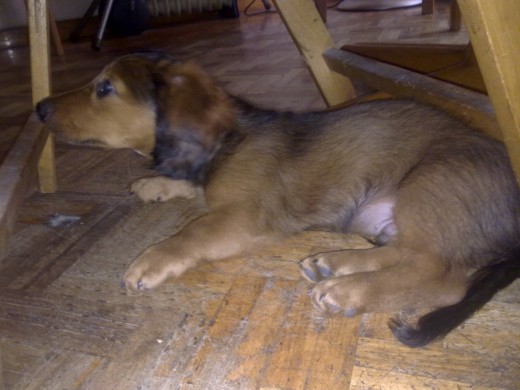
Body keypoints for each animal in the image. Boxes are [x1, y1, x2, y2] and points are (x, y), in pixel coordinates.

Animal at [36, 52, 520, 348]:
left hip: (431, 183)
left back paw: (350, 289)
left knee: (440, 275)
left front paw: (152, 259)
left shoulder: (245, 218)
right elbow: (189, 185)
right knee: (407, 254)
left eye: (104, 88)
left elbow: (193, 231)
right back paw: (336, 264)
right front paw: (155, 183)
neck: (226, 143)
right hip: (392, 215)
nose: (39, 108)